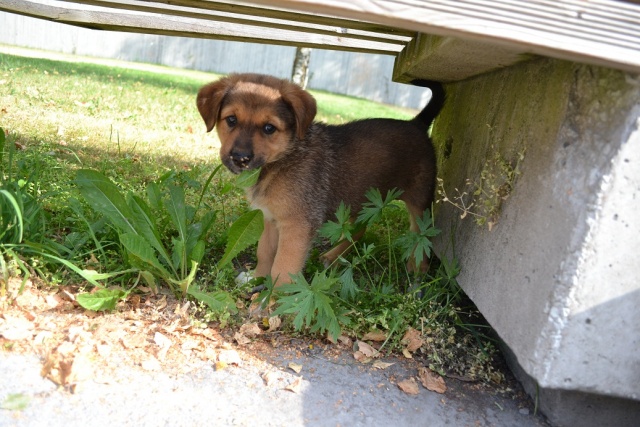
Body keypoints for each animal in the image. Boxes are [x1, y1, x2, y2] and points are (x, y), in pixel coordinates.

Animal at [197, 73, 444, 286]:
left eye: (269, 128)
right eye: (231, 120)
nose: (240, 158)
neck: (284, 158)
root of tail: (417, 123)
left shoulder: (297, 225)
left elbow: (283, 267)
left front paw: (274, 300)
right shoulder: (270, 218)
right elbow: (264, 253)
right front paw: (256, 279)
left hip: (419, 200)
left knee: (422, 235)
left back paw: (417, 268)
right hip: (360, 200)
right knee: (359, 230)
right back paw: (333, 256)